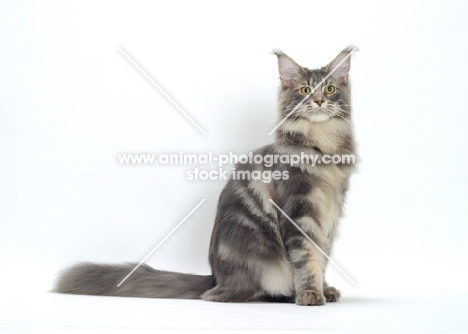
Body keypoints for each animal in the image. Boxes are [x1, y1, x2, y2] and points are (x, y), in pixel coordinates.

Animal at [57, 46, 358, 306]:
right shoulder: (298, 210)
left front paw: (324, 289)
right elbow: (306, 258)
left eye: (329, 89)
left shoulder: (330, 215)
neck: (323, 148)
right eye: (305, 90)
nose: (318, 101)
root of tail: (214, 279)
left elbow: (321, 258)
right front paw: (309, 293)